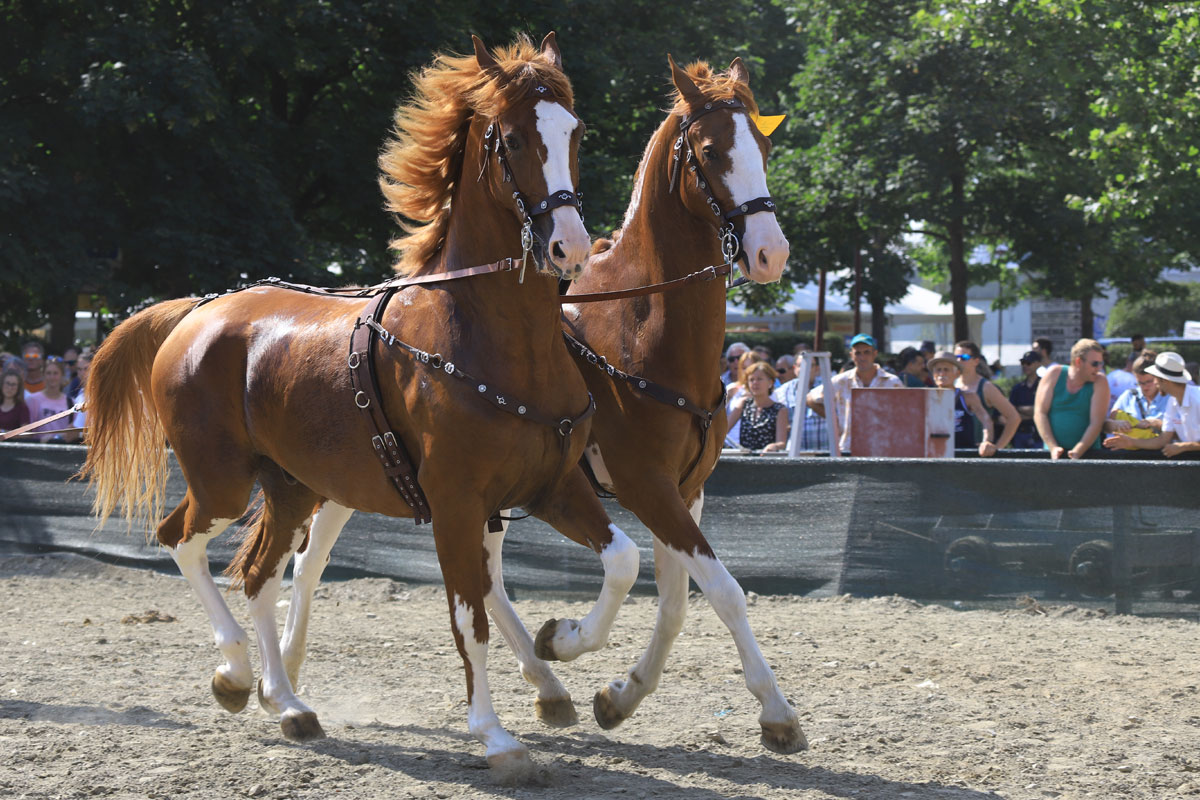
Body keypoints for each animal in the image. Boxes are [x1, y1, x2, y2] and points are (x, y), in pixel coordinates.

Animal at [80, 33, 639, 777]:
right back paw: (236, 674)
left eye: (574, 132)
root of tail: (199, 311)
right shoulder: (455, 503)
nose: (569, 247)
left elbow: (622, 562)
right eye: (515, 138)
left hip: (289, 489)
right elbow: (469, 616)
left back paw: (289, 704)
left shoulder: (551, 486)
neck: (489, 338)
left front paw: (563, 640)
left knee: (257, 575)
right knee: (182, 542)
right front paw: (494, 735)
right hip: (222, 481)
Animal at [266, 54, 807, 756]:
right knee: (309, 565)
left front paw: (621, 695)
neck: (639, 328)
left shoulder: (685, 491)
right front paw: (773, 709)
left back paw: (545, 684)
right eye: (712, 151)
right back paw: (286, 674)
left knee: (485, 582)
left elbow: (677, 601)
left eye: (763, 148)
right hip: (345, 482)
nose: (771, 252)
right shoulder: (644, 485)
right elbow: (720, 590)